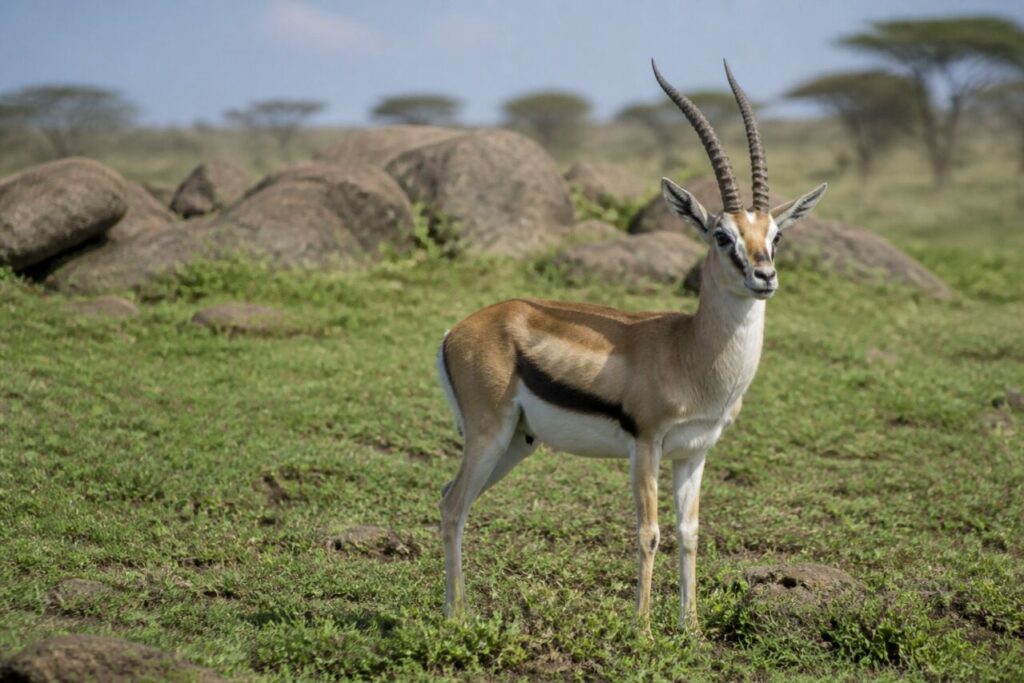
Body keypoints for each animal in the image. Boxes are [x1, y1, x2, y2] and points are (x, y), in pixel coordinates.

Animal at [436, 59, 827, 630]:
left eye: (775, 235)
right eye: (721, 236)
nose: (764, 277)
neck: (691, 353)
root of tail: (459, 329)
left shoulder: (693, 452)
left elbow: (688, 534)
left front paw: (690, 628)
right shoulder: (646, 445)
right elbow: (649, 533)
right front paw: (642, 628)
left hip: (517, 442)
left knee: (454, 499)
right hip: (489, 434)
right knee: (452, 505)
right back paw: (455, 616)